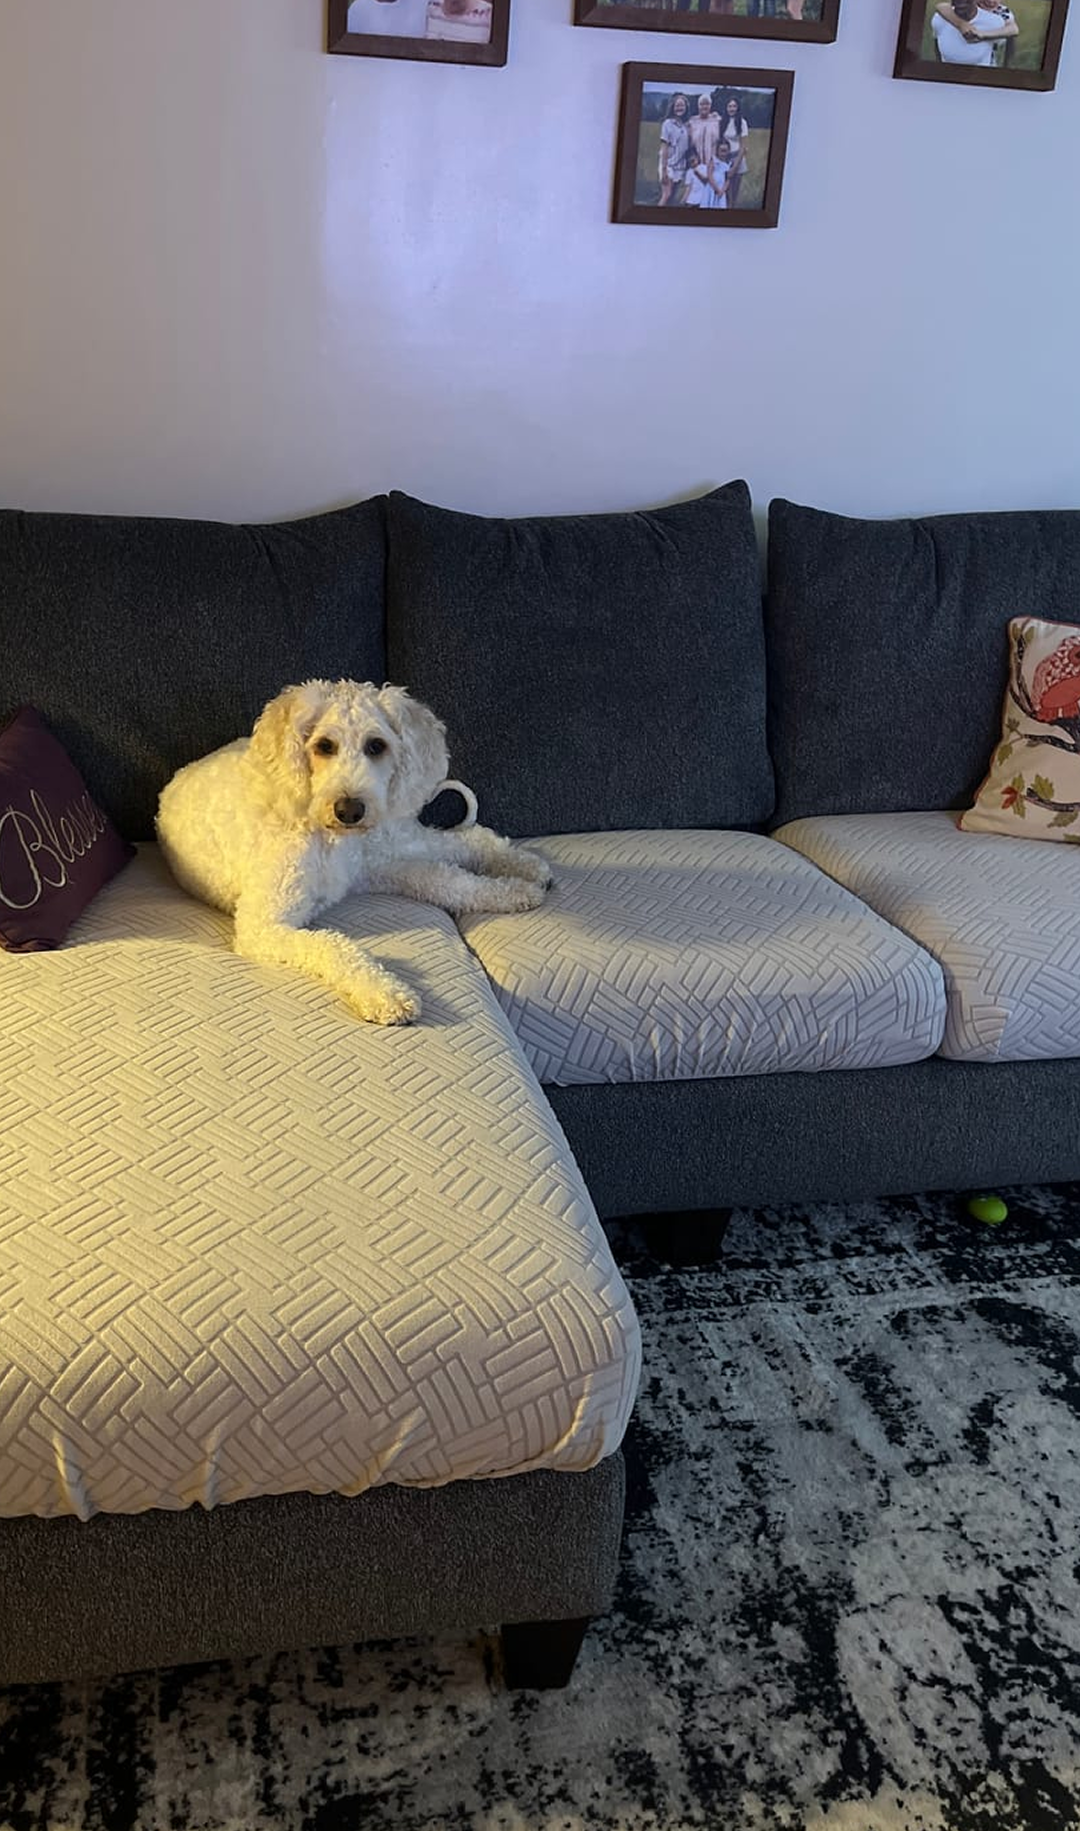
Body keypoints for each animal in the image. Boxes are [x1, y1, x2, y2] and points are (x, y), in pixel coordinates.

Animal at [156, 679, 551, 1024]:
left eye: (376, 746)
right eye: (324, 745)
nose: (349, 810)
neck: (327, 835)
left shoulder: (371, 866)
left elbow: (445, 879)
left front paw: (511, 892)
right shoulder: (263, 927)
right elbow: (334, 945)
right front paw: (385, 993)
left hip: (389, 834)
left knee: (466, 840)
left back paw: (526, 867)